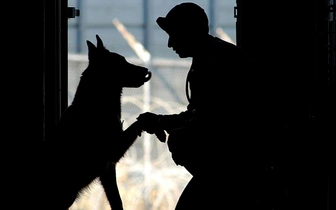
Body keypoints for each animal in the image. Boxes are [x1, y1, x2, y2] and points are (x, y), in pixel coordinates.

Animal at [41, 34, 152, 210]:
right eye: (121, 62)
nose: (146, 71)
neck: (95, 103)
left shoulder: (108, 169)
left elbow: (117, 201)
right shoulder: (114, 150)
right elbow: (137, 124)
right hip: (67, 195)